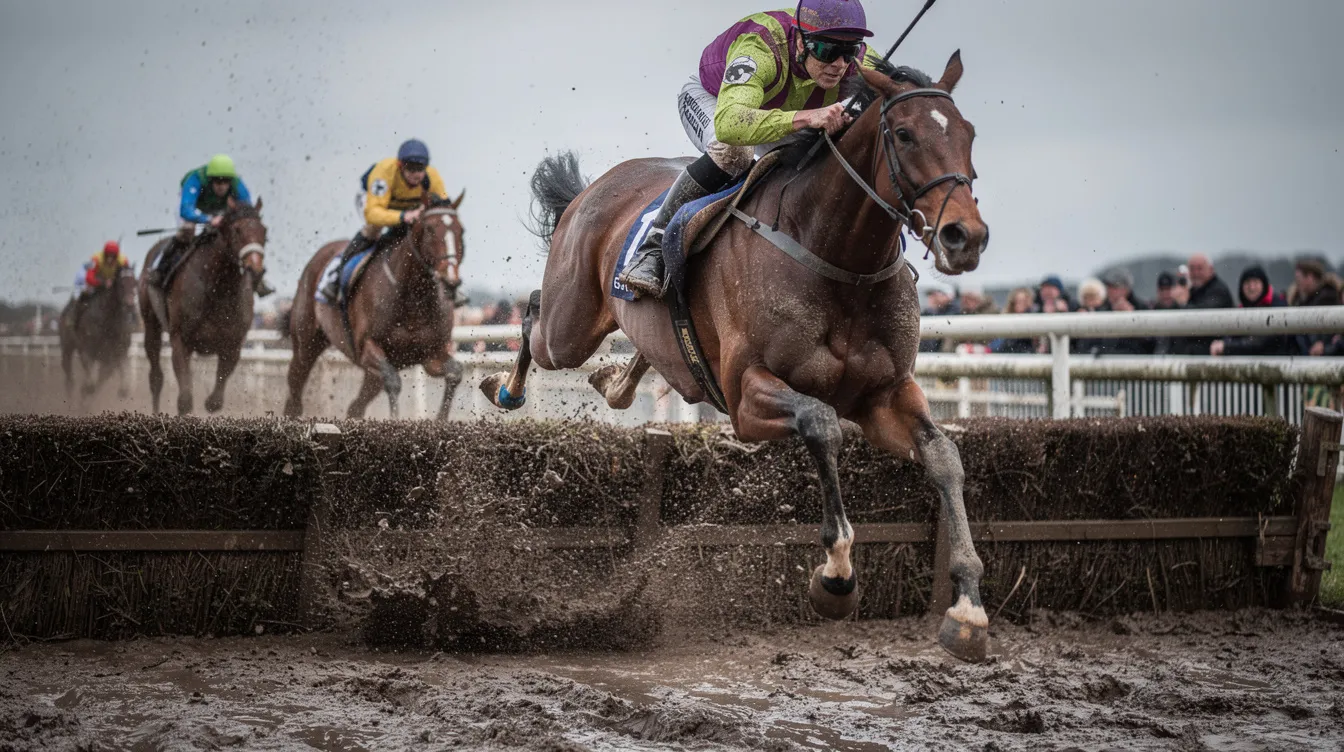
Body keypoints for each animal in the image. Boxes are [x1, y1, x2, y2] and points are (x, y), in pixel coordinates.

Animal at [59, 266, 139, 399]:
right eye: (121, 284)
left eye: (135, 283)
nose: (130, 305)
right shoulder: (87, 350)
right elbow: (90, 385)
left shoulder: (117, 354)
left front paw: (123, 389)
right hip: (67, 347)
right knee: (70, 379)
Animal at [138, 199, 268, 415]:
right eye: (237, 229)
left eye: (264, 231)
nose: (255, 269)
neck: (218, 290)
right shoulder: (180, 340)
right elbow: (185, 400)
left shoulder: (233, 344)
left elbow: (214, 402)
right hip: (151, 324)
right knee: (156, 377)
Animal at [284, 191, 466, 420]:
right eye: (430, 229)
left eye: (461, 231)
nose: (451, 280)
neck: (413, 302)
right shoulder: (367, 348)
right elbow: (394, 382)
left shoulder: (430, 354)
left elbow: (455, 373)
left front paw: (440, 419)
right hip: (306, 344)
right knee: (295, 390)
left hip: (370, 375)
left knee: (355, 406)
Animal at [481, 55, 994, 661]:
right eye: (906, 134)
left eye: (968, 134)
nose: (965, 236)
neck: (835, 258)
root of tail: (595, 188)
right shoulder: (747, 398)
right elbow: (821, 422)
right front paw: (836, 577)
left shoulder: (885, 395)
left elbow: (944, 457)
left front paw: (967, 609)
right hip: (569, 328)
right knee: (536, 311)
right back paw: (505, 389)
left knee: (639, 360)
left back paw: (615, 382)